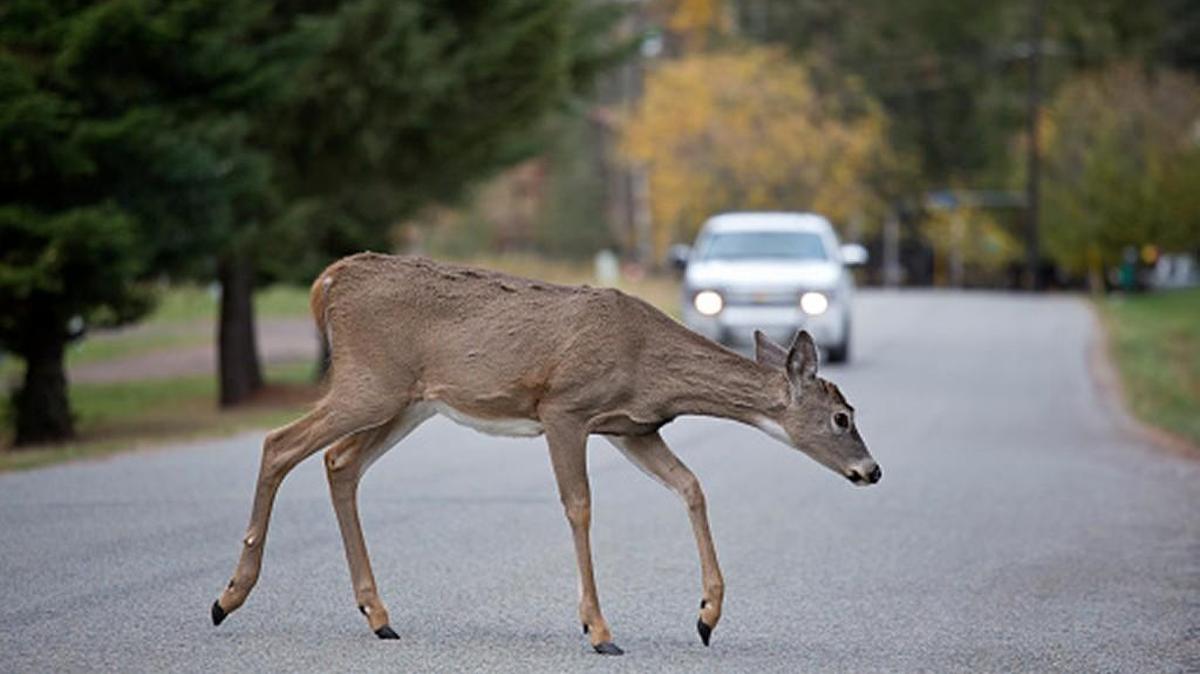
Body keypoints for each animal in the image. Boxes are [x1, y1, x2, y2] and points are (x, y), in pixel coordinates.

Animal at [210, 252, 881, 655]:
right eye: (843, 417)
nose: (871, 470)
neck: (651, 367)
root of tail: (329, 280)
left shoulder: (633, 428)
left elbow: (691, 486)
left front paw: (707, 615)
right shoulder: (565, 409)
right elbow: (579, 506)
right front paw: (599, 629)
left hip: (407, 401)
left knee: (339, 462)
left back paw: (378, 615)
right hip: (370, 382)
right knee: (279, 443)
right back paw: (228, 598)